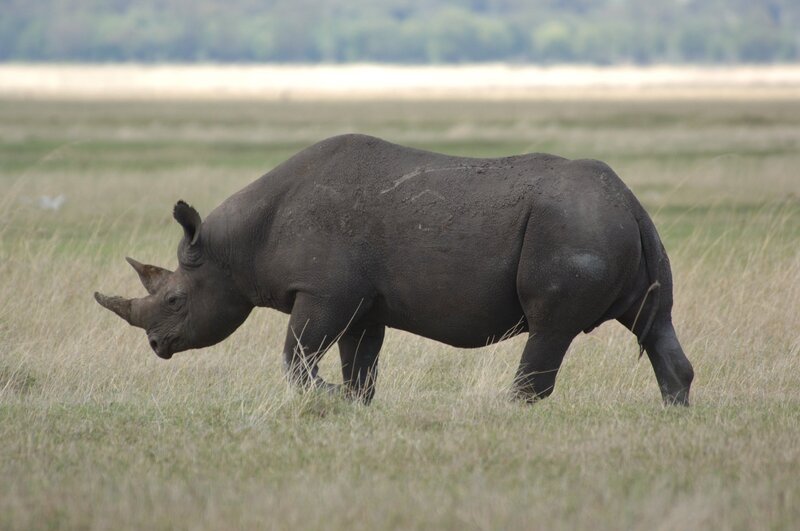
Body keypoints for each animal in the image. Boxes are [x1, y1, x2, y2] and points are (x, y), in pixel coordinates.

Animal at [95, 134, 694, 405]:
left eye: (176, 300)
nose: (156, 345)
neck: (233, 247)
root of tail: (629, 201)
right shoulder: (360, 303)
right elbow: (359, 362)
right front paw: (353, 403)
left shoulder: (324, 292)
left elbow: (296, 354)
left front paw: (324, 398)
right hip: (608, 224)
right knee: (653, 322)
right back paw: (672, 413)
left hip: (573, 227)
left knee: (551, 327)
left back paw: (511, 412)